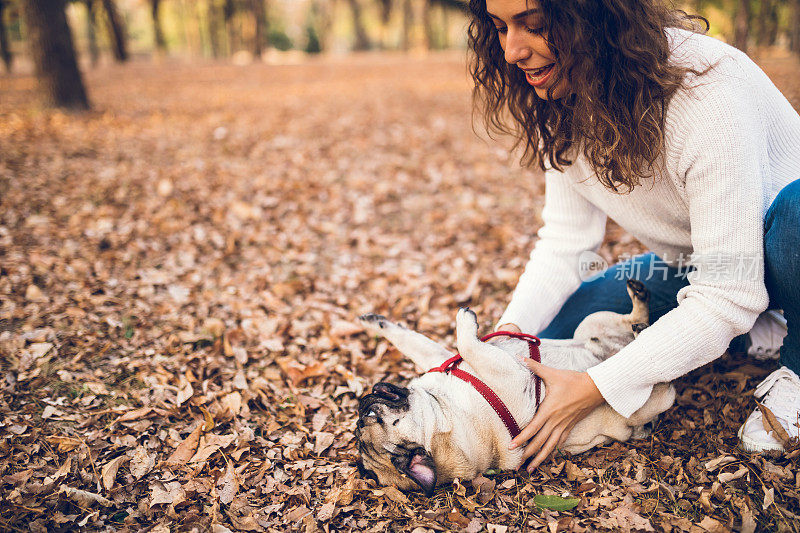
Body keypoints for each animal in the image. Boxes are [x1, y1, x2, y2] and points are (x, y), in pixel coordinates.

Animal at [356, 278, 676, 494]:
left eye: (368, 417)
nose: (362, 407)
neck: (443, 413)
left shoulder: (440, 358)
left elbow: (415, 342)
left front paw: (373, 321)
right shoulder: (514, 376)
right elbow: (467, 343)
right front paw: (464, 322)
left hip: (591, 322)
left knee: (630, 325)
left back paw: (639, 308)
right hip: (636, 402)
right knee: (661, 384)